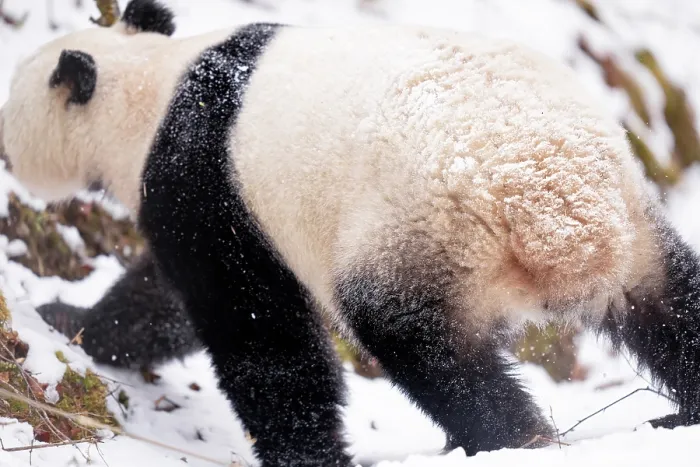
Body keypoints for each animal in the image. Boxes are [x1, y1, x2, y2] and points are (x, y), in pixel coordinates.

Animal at [4, 0, 700, 465]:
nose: (7, 158)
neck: (148, 86)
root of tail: (556, 212)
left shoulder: (205, 183)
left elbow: (251, 330)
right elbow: (164, 303)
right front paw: (71, 319)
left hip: (418, 230)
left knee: (427, 349)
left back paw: (507, 440)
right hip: (634, 223)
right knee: (673, 312)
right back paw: (677, 416)